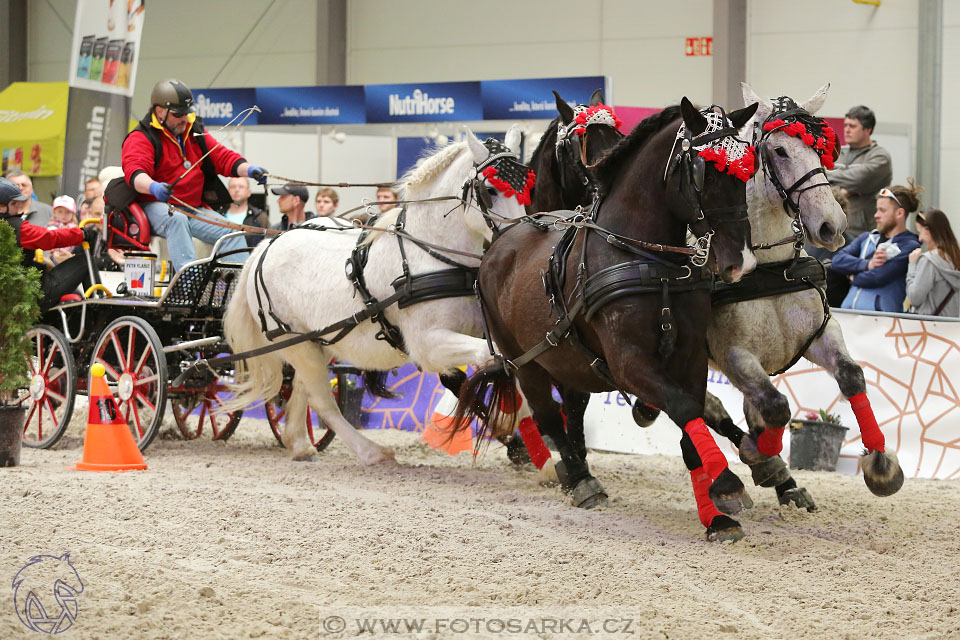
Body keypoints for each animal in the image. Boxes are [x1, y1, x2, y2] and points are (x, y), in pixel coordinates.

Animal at [223, 127, 532, 462]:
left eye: (528, 188)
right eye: (490, 190)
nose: (521, 239)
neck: (428, 254)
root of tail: (266, 247)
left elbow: (514, 364)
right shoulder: (427, 344)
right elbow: (493, 358)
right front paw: (511, 430)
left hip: (323, 342)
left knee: (302, 391)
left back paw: (300, 444)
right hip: (296, 343)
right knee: (323, 401)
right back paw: (371, 452)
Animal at [454, 99, 760, 540]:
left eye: (747, 171)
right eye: (704, 170)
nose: (741, 262)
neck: (651, 262)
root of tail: (500, 240)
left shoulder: (690, 358)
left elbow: (691, 426)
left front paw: (716, 513)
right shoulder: (628, 361)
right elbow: (683, 408)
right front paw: (728, 483)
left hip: (568, 358)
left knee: (572, 408)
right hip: (525, 360)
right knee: (548, 415)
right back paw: (580, 480)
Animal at [700, 81, 904, 500]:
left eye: (822, 151)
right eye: (779, 150)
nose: (832, 224)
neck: (768, 267)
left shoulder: (820, 334)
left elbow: (851, 375)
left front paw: (881, 465)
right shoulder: (733, 355)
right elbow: (776, 406)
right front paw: (759, 455)